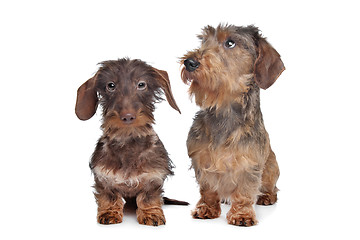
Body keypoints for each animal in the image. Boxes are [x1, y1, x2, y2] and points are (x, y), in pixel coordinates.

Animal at [76, 58, 188, 227]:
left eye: (141, 84)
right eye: (111, 85)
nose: (127, 116)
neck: (128, 141)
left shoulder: (153, 177)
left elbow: (148, 198)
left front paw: (151, 214)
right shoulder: (103, 178)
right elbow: (109, 196)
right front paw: (109, 213)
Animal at [181, 25, 286, 226]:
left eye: (230, 43)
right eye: (203, 40)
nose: (189, 62)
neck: (224, 111)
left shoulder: (249, 164)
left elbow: (245, 192)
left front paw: (242, 214)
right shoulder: (202, 159)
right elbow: (207, 189)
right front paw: (207, 208)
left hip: (271, 167)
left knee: (271, 188)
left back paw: (266, 196)